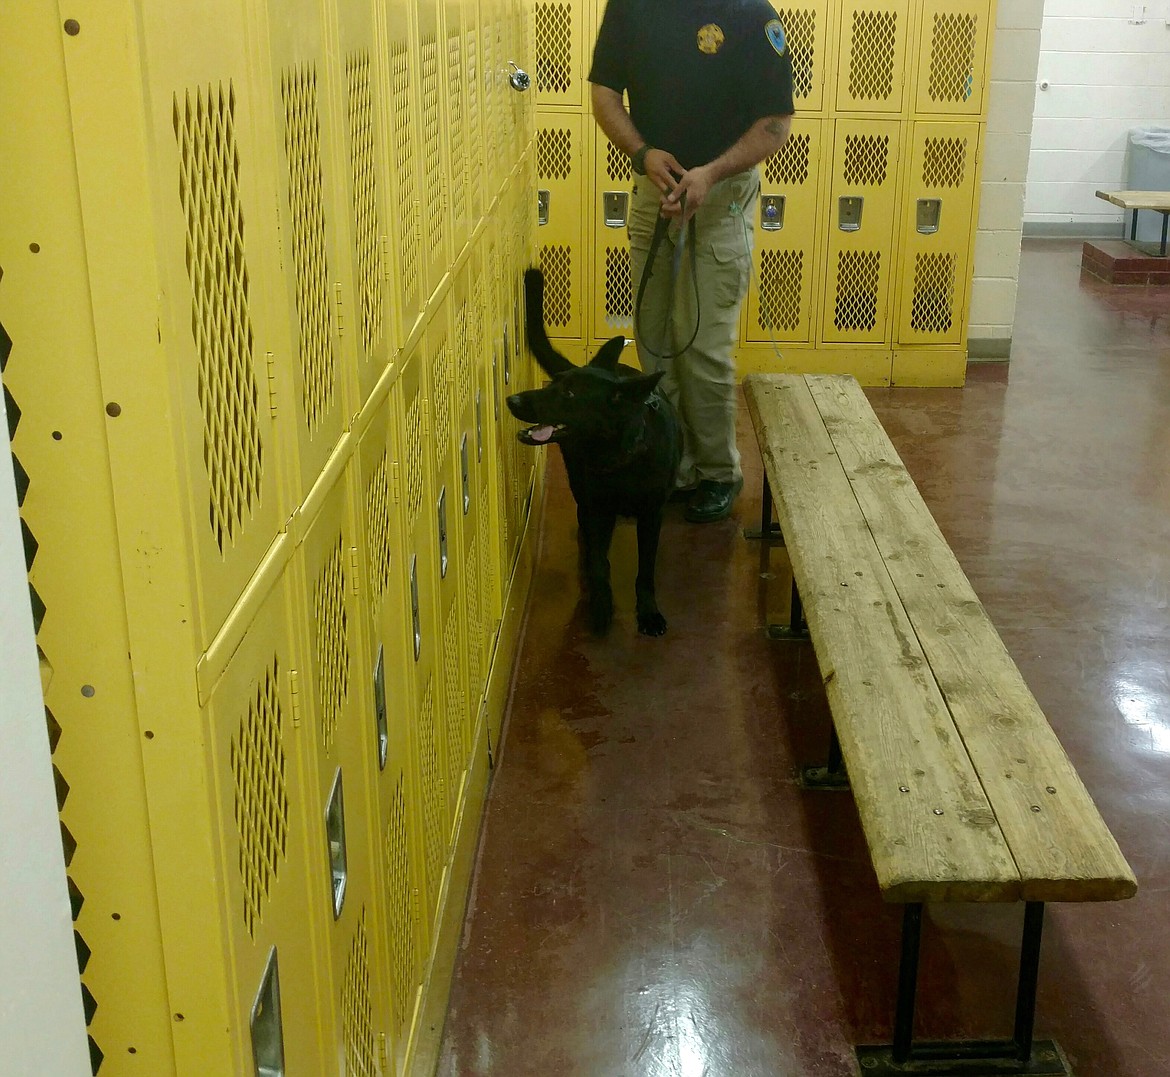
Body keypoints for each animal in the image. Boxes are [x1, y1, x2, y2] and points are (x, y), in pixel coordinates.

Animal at [507, 268, 683, 636]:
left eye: (570, 394)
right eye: (556, 382)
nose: (511, 400)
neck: (619, 458)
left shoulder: (651, 516)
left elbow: (645, 570)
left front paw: (648, 611)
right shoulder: (595, 508)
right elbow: (600, 564)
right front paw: (601, 608)